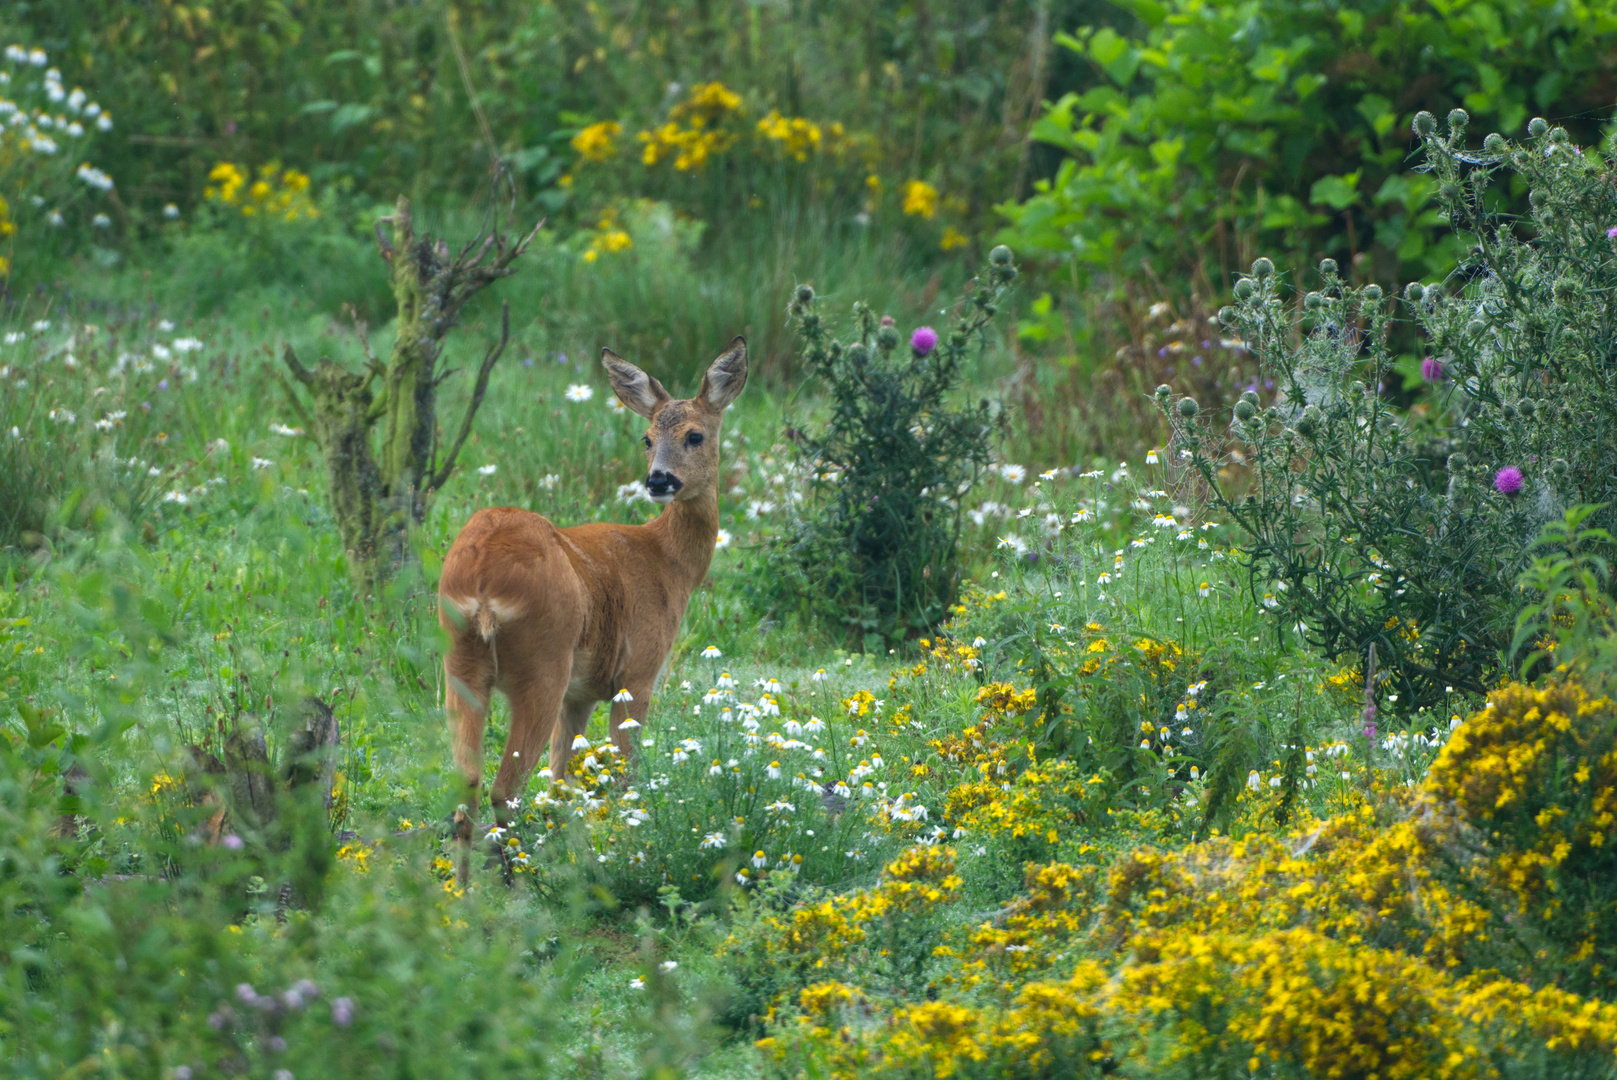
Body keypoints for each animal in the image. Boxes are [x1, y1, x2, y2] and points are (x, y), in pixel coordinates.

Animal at [439, 341, 747, 873]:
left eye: (695, 435)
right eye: (647, 438)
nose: (659, 480)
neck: (666, 561)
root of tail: (480, 581)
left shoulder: (579, 695)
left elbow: (561, 784)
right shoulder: (638, 672)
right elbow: (624, 778)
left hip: (459, 663)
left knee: (468, 791)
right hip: (543, 662)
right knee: (504, 790)